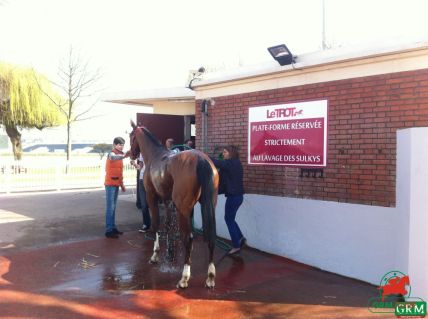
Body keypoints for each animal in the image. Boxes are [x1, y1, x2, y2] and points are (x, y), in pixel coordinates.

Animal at [129, 120, 219, 290]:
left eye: (131, 137)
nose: (131, 155)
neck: (155, 155)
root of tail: (201, 159)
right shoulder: (167, 200)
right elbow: (168, 225)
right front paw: (170, 255)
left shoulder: (152, 197)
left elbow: (156, 224)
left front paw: (155, 255)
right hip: (208, 205)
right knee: (211, 235)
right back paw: (210, 277)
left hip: (184, 209)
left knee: (188, 238)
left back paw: (184, 278)